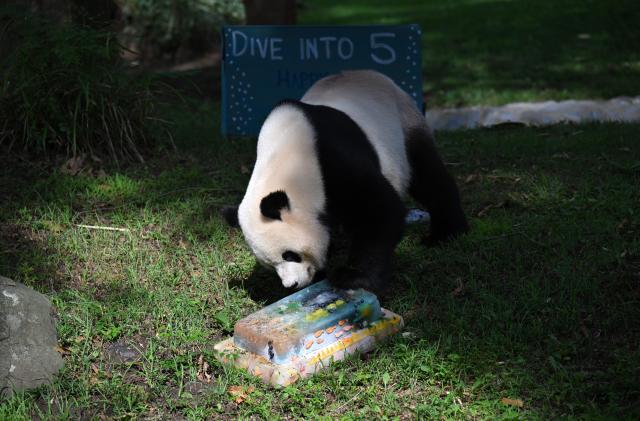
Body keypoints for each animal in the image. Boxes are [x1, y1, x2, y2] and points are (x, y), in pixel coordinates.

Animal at [223, 70, 468, 294]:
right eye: (270, 265)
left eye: (290, 254)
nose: (291, 285)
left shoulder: (334, 160)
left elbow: (379, 210)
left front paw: (353, 278)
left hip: (405, 125)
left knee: (428, 176)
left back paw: (444, 234)